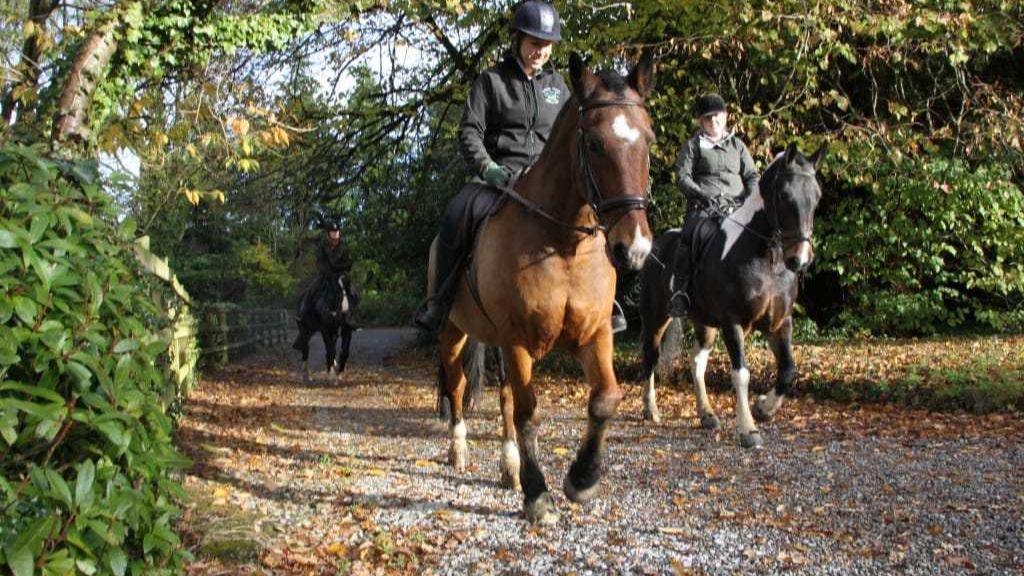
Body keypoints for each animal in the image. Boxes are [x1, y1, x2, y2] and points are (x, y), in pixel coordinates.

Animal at [432, 51, 655, 522]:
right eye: (594, 144)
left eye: (648, 139)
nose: (634, 248)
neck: (563, 244)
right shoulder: (518, 340)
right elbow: (529, 413)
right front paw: (538, 496)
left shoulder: (595, 334)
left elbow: (605, 398)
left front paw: (582, 480)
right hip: (452, 333)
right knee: (458, 386)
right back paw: (460, 452)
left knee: (502, 399)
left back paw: (509, 468)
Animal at [638, 141, 823, 446]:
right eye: (785, 195)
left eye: (817, 196)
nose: (801, 260)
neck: (767, 259)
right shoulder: (733, 323)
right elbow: (741, 374)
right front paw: (748, 429)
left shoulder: (780, 323)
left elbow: (787, 370)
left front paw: (763, 408)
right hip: (656, 318)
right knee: (650, 358)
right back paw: (651, 409)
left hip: (704, 323)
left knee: (697, 362)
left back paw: (707, 415)